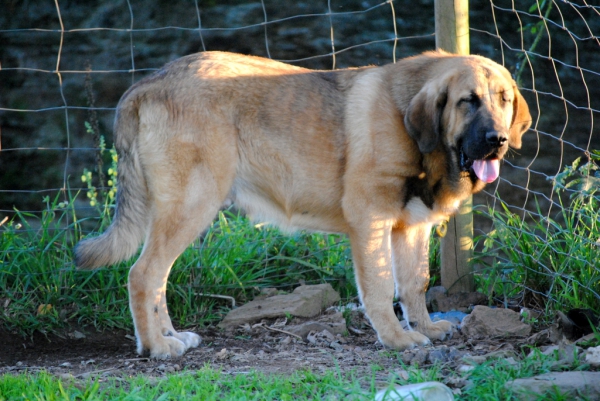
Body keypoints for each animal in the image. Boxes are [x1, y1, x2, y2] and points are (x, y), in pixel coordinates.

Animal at [75, 50, 528, 356]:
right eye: (468, 100)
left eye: (504, 99)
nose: (498, 141)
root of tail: (148, 83)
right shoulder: (371, 221)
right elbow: (381, 288)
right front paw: (397, 338)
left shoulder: (410, 227)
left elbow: (414, 284)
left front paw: (427, 328)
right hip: (191, 205)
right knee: (143, 274)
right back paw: (156, 346)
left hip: (181, 211)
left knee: (157, 279)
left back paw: (169, 336)